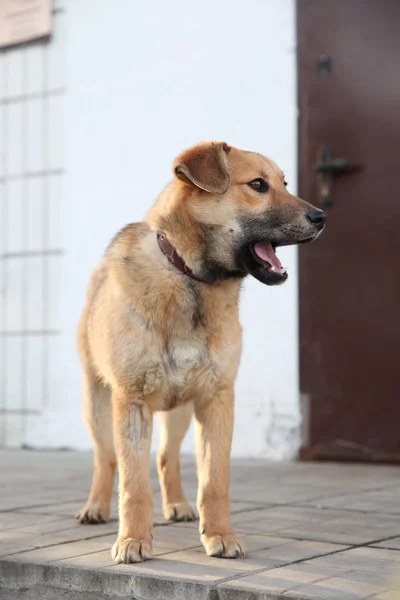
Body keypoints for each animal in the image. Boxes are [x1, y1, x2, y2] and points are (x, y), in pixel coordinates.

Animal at [76, 141, 326, 564]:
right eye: (257, 185)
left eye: (285, 183)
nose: (322, 217)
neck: (190, 279)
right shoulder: (131, 401)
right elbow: (133, 484)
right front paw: (133, 540)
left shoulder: (217, 399)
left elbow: (214, 480)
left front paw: (220, 535)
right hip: (97, 404)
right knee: (104, 458)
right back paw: (95, 507)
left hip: (178, 410)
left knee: (166, 457)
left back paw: (177, 505)